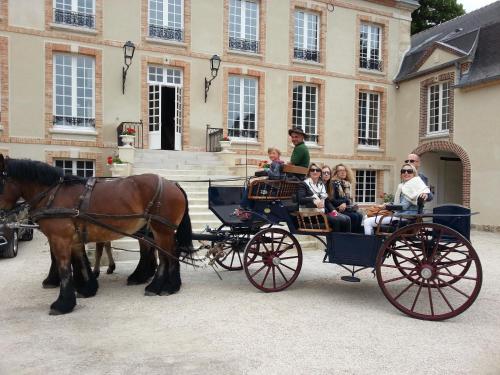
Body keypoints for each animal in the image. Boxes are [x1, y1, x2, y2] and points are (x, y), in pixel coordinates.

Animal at [0, 154, 193, 316]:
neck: (53, 194)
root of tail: (173, 184)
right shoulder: (74, 239)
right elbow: (81, 263)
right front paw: (87, 288)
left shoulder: (59, 239)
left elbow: (64, 268)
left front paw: (63, 302)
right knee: (161, 253)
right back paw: (152, 281)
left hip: (162, 229)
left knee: (169, 255)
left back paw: (166, 286)